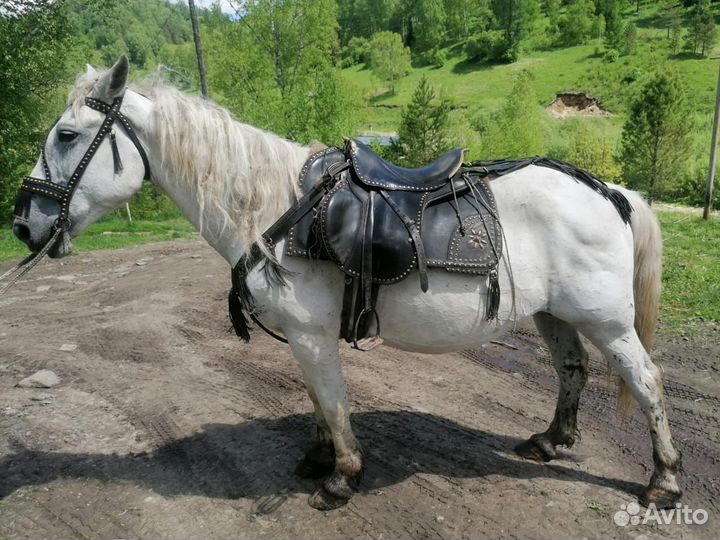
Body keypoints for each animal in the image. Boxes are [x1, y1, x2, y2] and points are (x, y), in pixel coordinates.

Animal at [9, 56, 682, 511]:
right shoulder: (305, 336)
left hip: (606, 320)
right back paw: (549, 441)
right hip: (555, 314)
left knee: (647, 382)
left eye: (66, 135)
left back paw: (664, 481)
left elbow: (332, 402)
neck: (272, 210)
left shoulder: (311, 333)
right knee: (572, 369)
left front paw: (341, 478)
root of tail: (612, 191)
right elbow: (315, 400)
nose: (23, 223)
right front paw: (316, 459)